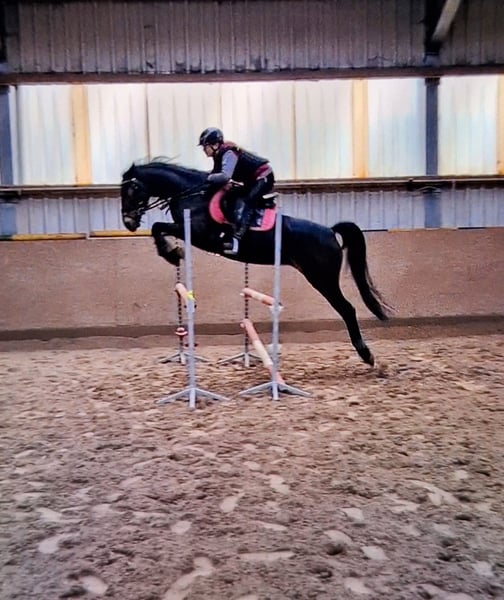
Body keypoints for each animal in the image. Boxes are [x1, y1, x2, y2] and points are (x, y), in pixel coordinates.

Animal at [120, 159, 392, 367]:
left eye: (131, 190)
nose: (128, 222)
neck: (192, 195)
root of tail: (329, 230)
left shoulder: (198, 234)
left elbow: (158, 227)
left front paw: (172, 253)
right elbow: (158, 228)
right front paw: (172, 251)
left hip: (322, 279)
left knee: (347, 309)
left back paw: (366, 355)